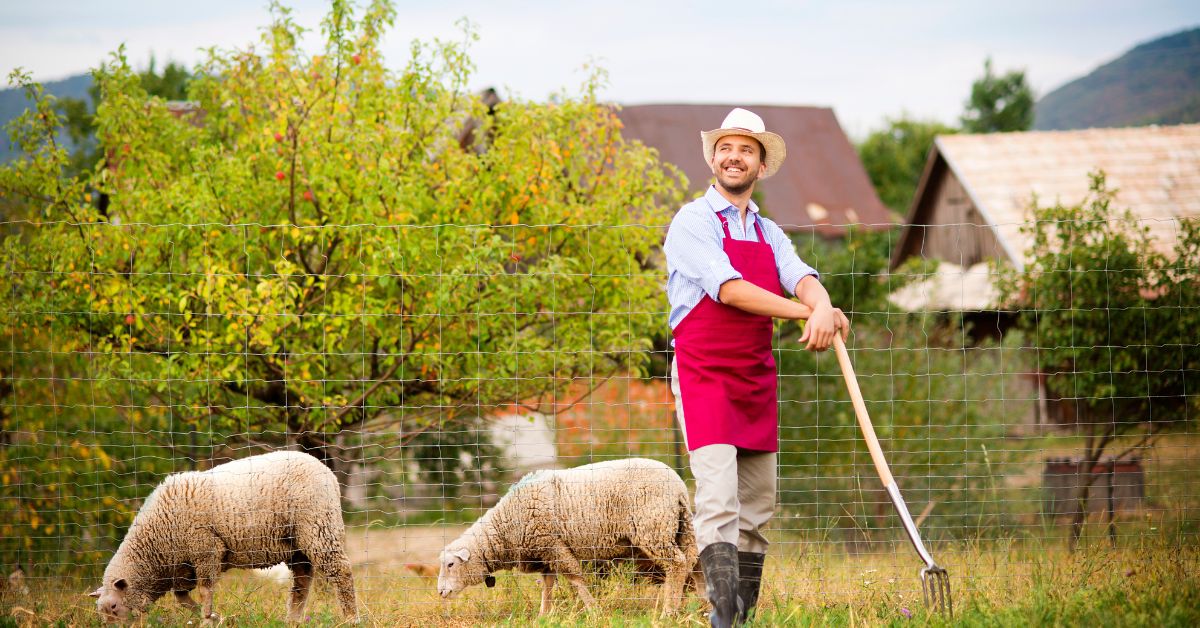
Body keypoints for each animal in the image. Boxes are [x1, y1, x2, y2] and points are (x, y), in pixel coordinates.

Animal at [88, 451, 355, 624]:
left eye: (114, 607)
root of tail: (326, 470)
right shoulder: (183, 568)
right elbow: (181, 597)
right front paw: (205, 615)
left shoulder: (205, 549)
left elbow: (205, 591)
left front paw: (207, 618)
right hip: (296, 544)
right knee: (302, 581)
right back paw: (293, 619)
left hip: (319, 527)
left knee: (341, 572)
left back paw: (351, 617)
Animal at [434, 456, 696, 614]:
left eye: (450, 564)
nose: (440, 593)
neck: (504, 526)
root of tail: (679, 486)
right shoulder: (544, 551)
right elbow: (548, 585)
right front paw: (544, 615)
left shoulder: (553, 544)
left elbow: (575, 578)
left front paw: (593, 611)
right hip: (677, 528)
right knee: (687, 564)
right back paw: (681, 606)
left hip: (653, 528)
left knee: (676, 565)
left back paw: (668, 611)